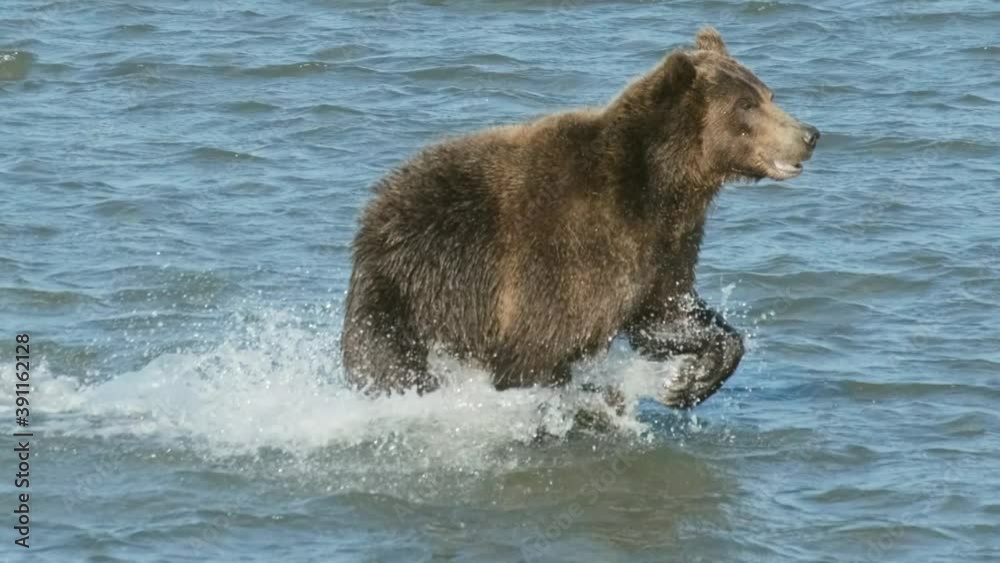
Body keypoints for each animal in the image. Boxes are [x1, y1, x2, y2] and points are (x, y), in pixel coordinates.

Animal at [341, 27, 819, 409]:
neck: (661, 186)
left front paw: (688, 382)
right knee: (389, 362)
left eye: (768, 94)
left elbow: (665, 315)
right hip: (411, 287)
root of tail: (372, 211)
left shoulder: (665, 246)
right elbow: (542, 349)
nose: (810, 134)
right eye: (746, 104)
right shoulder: (569, 248)